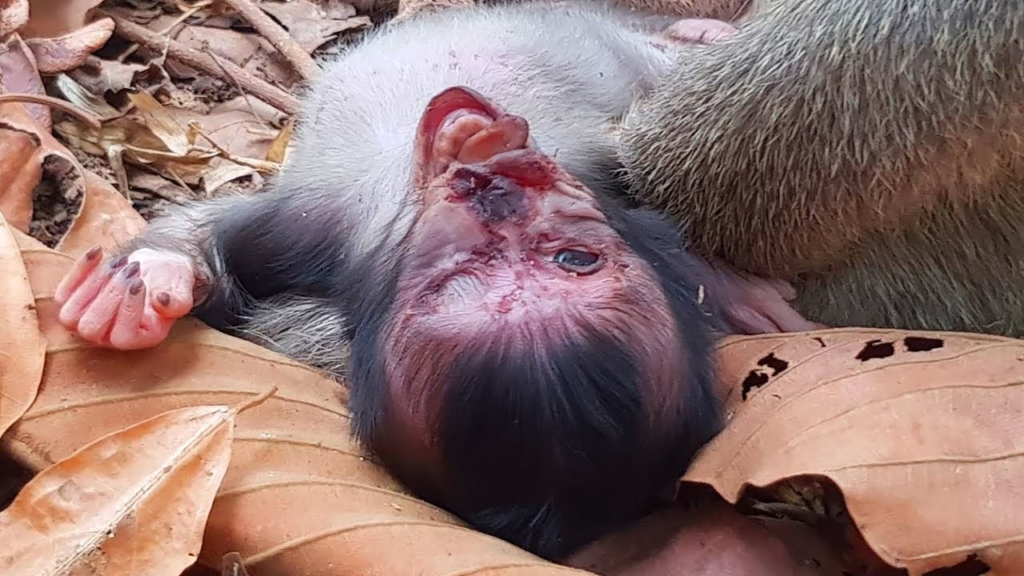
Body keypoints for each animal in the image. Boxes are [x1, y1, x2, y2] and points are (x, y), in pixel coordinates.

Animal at [53, 2, 818, 560]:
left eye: (574, 259)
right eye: (464, 271)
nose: (500, 186)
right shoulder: (320, 225)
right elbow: (223, 234)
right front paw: (137, 282)